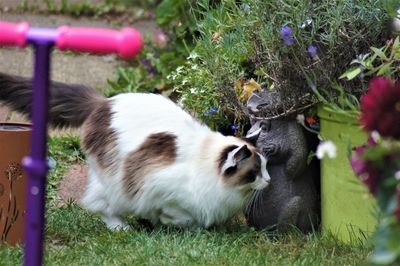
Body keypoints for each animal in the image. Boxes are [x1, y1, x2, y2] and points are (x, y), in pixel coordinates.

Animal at [0, 72, 268, 229]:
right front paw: (174, 225)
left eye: (265, 167)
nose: (269, 180)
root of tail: (104, 102)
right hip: (113, 183)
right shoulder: (161, 190)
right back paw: (120, 227)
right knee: (99, 205)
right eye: (254, 173)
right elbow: (180, 216)